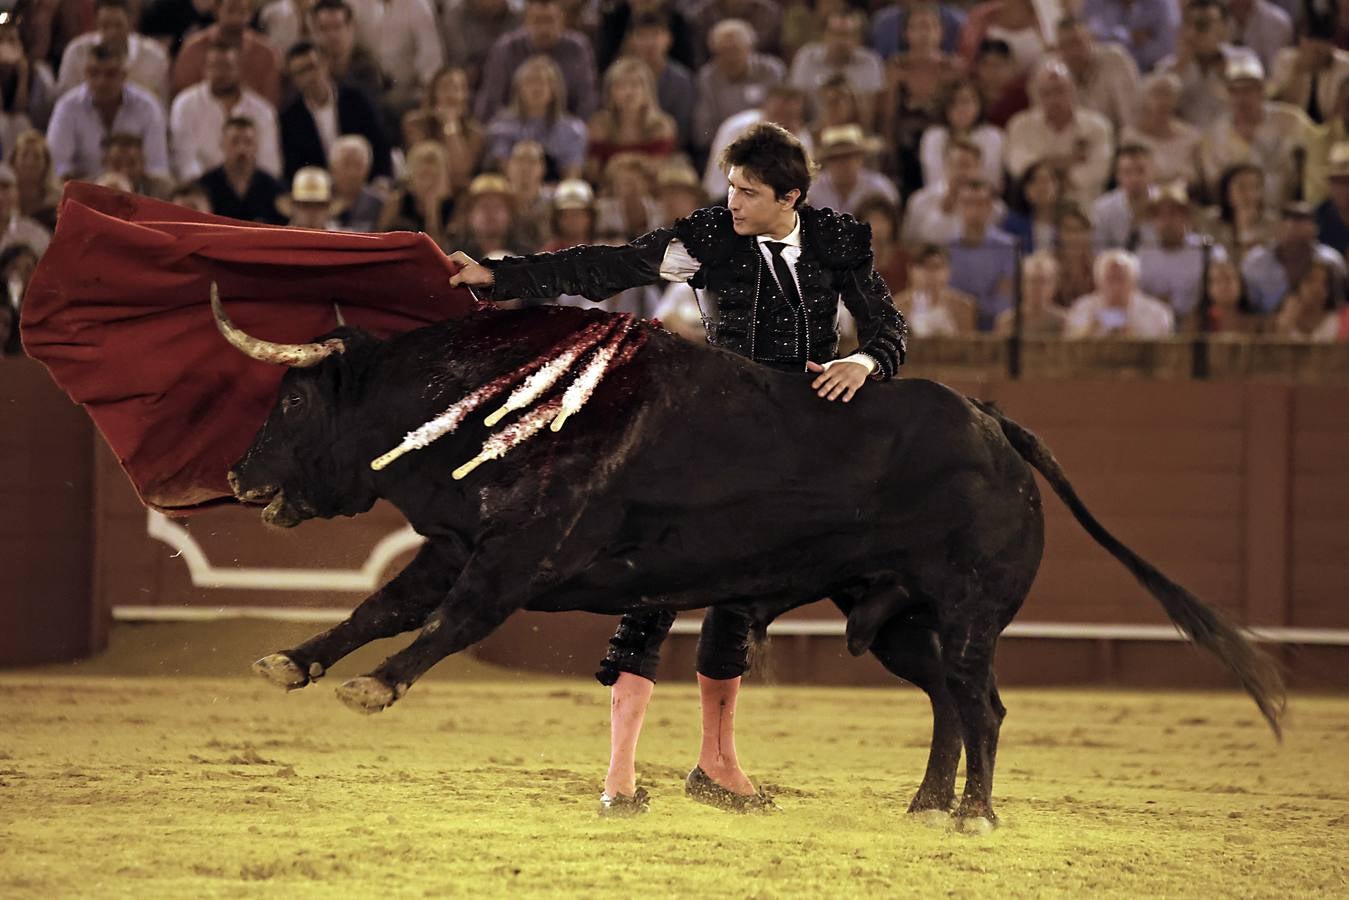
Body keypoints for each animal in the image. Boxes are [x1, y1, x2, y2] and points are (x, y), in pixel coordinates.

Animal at [221, 300, 1284, 825]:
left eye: (292, 403)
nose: (235, 476)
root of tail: (995, 423)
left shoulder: (515, 556)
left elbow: (449, 621)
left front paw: (372, 688)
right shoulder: (455, 546)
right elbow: (383, 606)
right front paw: (291, 663)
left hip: (970, 611)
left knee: (981, 703)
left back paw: (973, 815)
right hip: (897, 622)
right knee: (948, 700)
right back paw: (924, 802)